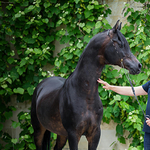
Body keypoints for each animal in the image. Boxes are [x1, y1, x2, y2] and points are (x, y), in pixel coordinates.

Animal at [30, 20, 142, 150]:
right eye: (118, 43)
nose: (138, 66)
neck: (85, 94)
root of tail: (42, 85)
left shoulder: (94, 134)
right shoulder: (73, 135)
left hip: (61, 134)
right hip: (39, 130)